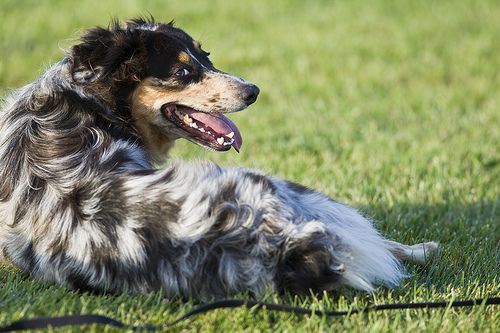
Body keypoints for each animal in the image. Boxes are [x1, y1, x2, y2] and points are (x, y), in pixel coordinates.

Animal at [0, 17, 438, 298]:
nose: (254, 91)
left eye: (206, 57)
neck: (87, 100)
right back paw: (421, 250)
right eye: (182, 73)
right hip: (297, 193)